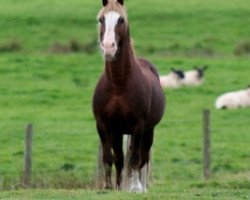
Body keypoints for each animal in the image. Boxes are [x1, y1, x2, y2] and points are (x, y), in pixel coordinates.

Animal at [92, 0, 166, 192]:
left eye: (121, 20)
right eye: (101, 19)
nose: (108, 47)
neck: (118, 85)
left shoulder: (139, 126)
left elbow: (135, 158)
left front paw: (135, 188)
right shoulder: (104, 125)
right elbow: (110, 157)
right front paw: (110, 186)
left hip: (148, 130)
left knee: (143, 157)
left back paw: (142, 186)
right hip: (119, 131)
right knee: (121, 158)